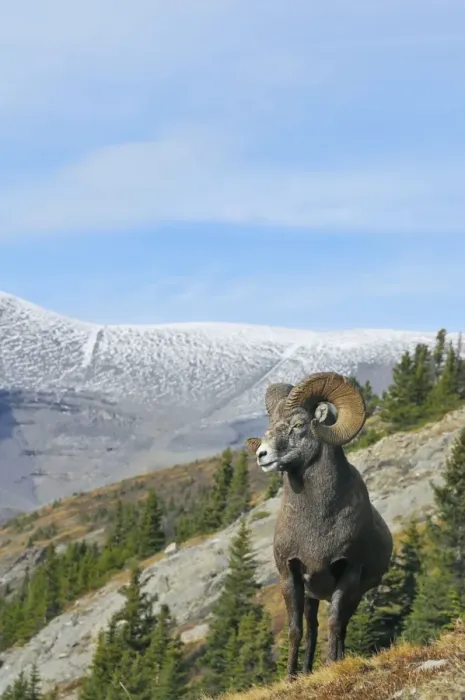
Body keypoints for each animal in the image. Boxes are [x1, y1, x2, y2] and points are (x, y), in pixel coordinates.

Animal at [246, 371, 393, 680]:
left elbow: (334, 624)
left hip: (353, 596)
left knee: (340, 627)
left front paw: (332, 666)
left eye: (298, 425)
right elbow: (295, 630)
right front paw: (290, 678)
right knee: (312, 630)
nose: (262, 455)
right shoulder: (290, 574)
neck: (317, 524)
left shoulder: (348, 573)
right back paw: (305, 672)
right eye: (269, 427)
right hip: (313, 596)